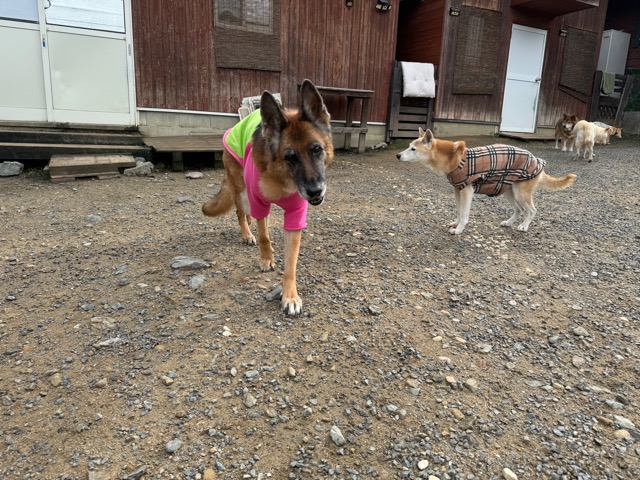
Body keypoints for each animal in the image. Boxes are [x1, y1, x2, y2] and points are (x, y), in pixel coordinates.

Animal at [202, 80, 334, 315]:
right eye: (290, 156)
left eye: (316, 149)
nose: (315, 191)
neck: (281, 178)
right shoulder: (258, 202)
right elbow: (263, 235)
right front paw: (266, 259)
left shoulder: (295, 216)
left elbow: (291, 262)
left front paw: (290, 295)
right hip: (242, 193)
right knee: (241, 213)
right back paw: (247, 234)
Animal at [396, 128, 576, 234]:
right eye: (408, 146)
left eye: (413, 149)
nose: (397, 155)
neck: (452, 158)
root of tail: (536, 159)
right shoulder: (457, 190)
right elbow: (459, 211)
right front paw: (456, 223)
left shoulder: (467, 191)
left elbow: (464, 214)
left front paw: (459, 229)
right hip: (508, 190)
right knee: (519, 209)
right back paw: (508, 222)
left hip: (520, 193)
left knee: (531, 210)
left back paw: (524, 226)